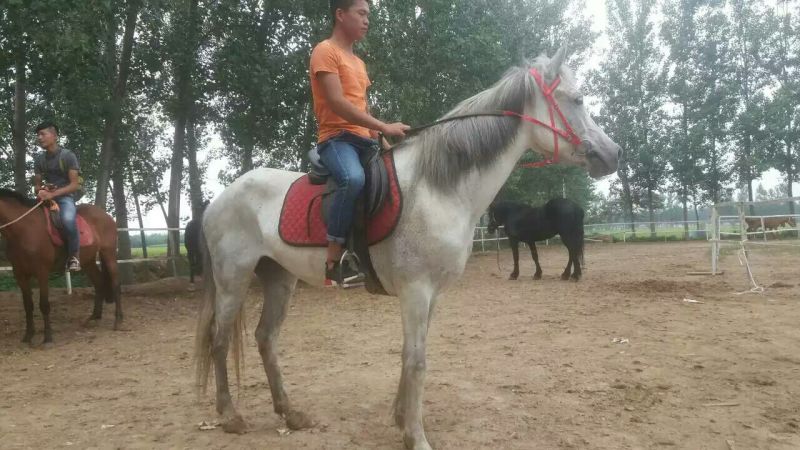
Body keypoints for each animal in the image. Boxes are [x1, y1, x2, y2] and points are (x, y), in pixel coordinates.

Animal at [0, 189, 121, 345]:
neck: (23, 229)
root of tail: (105, 215)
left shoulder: (42, 272)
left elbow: (44, 305)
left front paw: (47, 338)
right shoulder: (20, 274)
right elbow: (28, 305)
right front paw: (28, 336)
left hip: (108, 253)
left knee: (116, 283)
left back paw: (118, 320)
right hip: (88, 261)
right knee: (99, 282)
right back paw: (94, 317)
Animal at [194, 48, 620, 449]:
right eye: (577, 99)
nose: (613, 153)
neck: (438, 187)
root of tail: (219, 200)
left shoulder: (432, 294)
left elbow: (411, 354)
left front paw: (401, 420)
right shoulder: (416, 289)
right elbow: (416, 361)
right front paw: (416, 436)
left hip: (279, 277)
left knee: (266, 338)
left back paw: (290, 413)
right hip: (233, 278)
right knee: (219, 339)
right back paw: (230, 416)